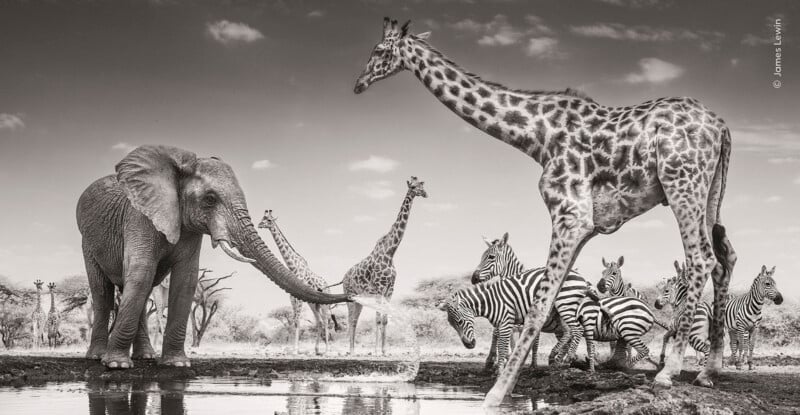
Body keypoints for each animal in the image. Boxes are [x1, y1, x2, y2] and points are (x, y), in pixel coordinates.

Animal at [258, 209, 339, 355]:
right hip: (313, 304)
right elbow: (294, 321)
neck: (293, 267)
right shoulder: (292, 297)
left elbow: (297, 321)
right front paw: (293, 348)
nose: (259, 224)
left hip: (324, 304)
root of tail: (327, 286)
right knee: (319, 321)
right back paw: (316, 349)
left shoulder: (298, 298)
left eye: (268, 220)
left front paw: (295, 349)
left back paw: (326, 350)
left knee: (326, 320)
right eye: (263, 217)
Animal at [341, 176, 427, 355]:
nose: (424, 193)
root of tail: (344, 277)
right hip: (350, 296)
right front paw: (375, 351)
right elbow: (378, 319)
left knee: (354, 320)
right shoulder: (379, 290)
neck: (390, 252)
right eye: (413, 186)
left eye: (422, 185)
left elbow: (385, 319)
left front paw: (385, 350)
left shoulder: (389, 291)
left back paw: (353, 350)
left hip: (359, 299)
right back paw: (351, 351)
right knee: (351, 320)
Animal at [472, 233, 589, 368]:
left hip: (565, 306)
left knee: (577, 331)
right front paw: (495, 360)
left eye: (491, 257)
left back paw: (566, 359)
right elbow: (499, 333)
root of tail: (582, 278)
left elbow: (527, 342)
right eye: (482, 257)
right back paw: (562, 360)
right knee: (569, 334)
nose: (473, 278)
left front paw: (525, 362)